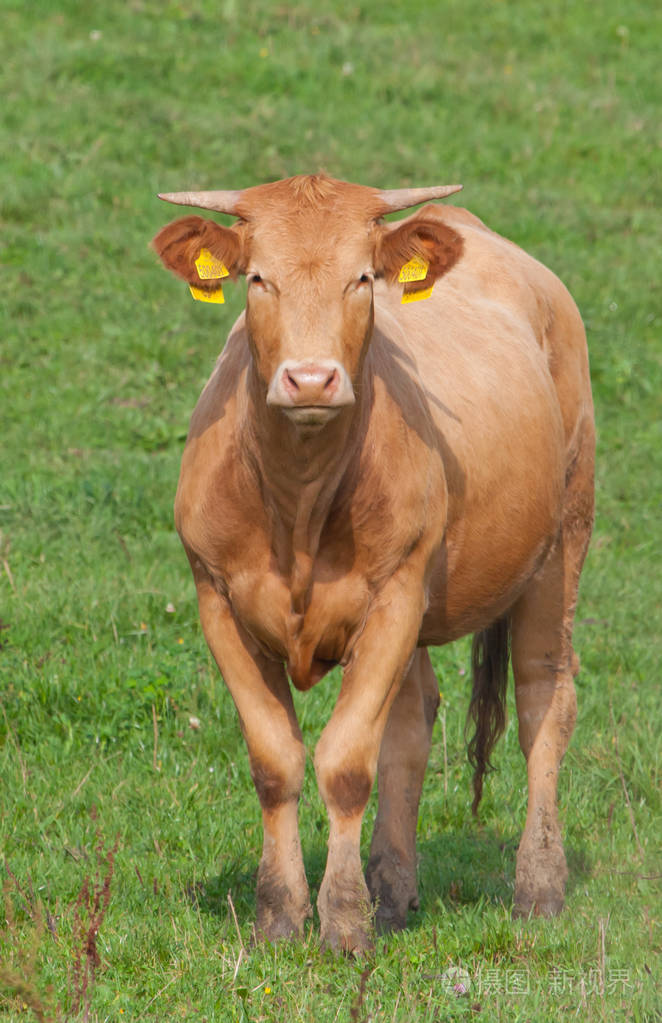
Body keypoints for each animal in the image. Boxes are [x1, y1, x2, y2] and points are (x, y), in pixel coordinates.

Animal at [154, 173, 597, 949]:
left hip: (561, 542)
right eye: (258, 278)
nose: (310, 379)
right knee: (412, 722)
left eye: (361, 278)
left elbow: (344, 762)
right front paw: (281, 913)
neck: (298, 505)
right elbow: (278, 760)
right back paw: (394, 888)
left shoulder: (394, 595)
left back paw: (538, 886)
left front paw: (343, 921)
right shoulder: (217, 599)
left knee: (545, 700)